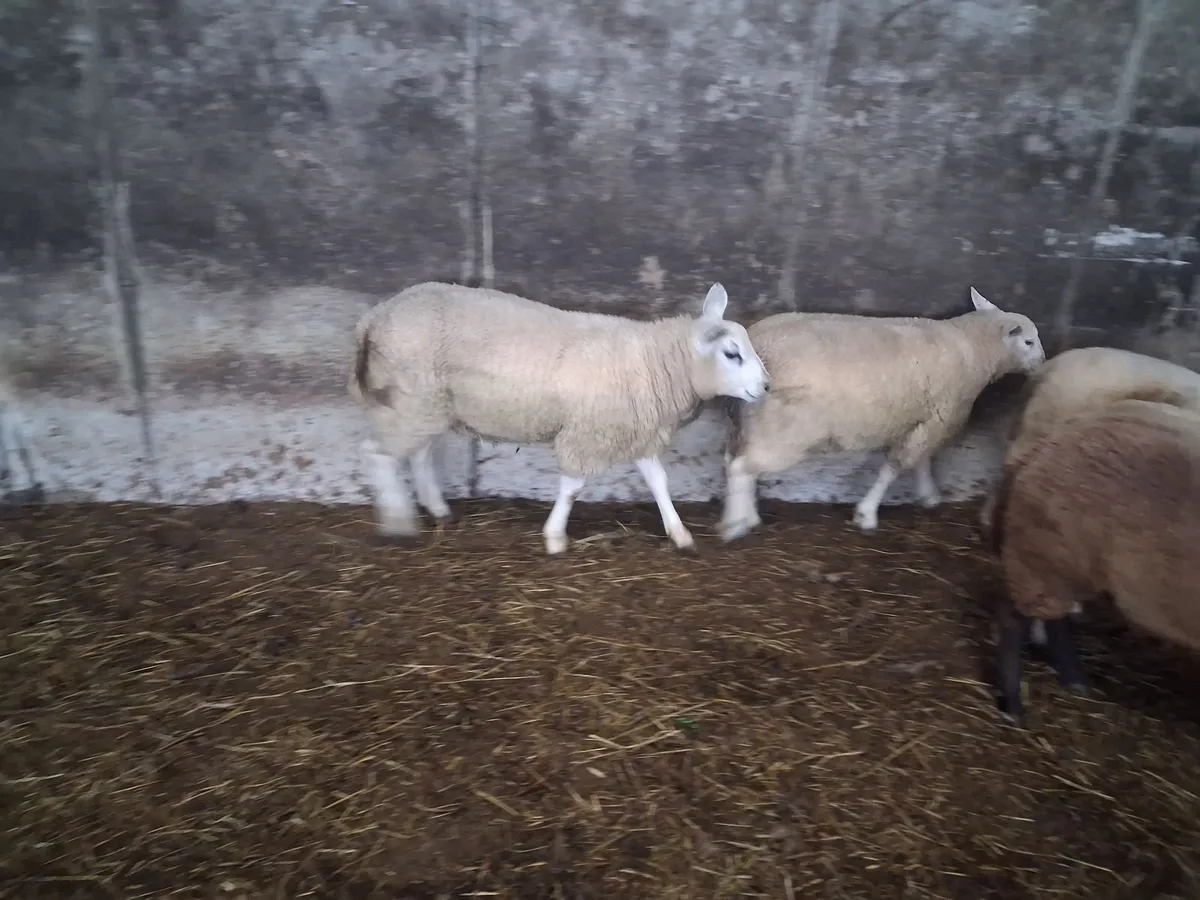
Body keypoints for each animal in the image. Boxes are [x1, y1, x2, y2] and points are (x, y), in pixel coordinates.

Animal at [349, 281, 770, 555]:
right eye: (732, 353)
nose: (766, 386)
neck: (652, 362)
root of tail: (374, 317)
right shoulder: (588, 432)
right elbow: (573, 486)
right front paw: (554, 537)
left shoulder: (633, 429)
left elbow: (658, 482)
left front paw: (679, 534)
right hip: (411, 397)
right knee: (376, 453)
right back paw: (400, 522)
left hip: (426, 403)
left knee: (416, 453)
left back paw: (437, 509)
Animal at [719, 287, 1045, 540]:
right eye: (1028, 342)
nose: (1042, 361)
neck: (972, 349)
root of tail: (759, 342)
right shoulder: (938, 419)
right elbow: (894, 468)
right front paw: (867, 514)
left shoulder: (925, 420)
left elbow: (921, 461)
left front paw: (928, 495)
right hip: (786, 430)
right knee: (741, 466)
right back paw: (735, 525)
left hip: (751, 421)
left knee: (734, 460)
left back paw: (746, 516)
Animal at [989, 398, 1200, 727]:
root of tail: (1043, 445)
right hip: (1045, 556)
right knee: (1013, 620)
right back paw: (1013, 706)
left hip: (1060, 562)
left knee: (1055, 618)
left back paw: (1075, 682)